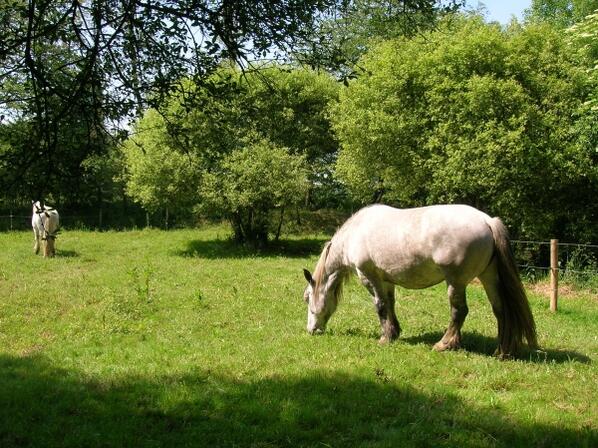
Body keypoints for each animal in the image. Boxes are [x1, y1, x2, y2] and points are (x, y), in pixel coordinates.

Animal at [302, 204, 540, 356]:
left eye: (307, 298)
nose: (311, 330)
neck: (355, 233)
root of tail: (487, 220)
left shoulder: (370, 277)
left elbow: (380, 306)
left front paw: (384, 337)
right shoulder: (387, 280)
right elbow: (390, 304)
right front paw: (394, 332)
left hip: (456, 282)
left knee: (459, 311)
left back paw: (444, 344)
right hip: (489, 277)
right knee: (500, 310)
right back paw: (501, 351)